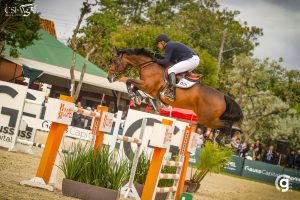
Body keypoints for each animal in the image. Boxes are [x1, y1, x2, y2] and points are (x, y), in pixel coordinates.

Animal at [106, 47, 243, 128]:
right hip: (208, 119)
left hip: (207, 119)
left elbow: (129, 81)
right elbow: (133, 85)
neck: (148, 65)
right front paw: (137, 97)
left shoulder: (147, 86)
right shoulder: (146, 86)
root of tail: (223, 96)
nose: (109, 77)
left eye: (115, 61)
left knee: (226, 125)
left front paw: (133, 95)